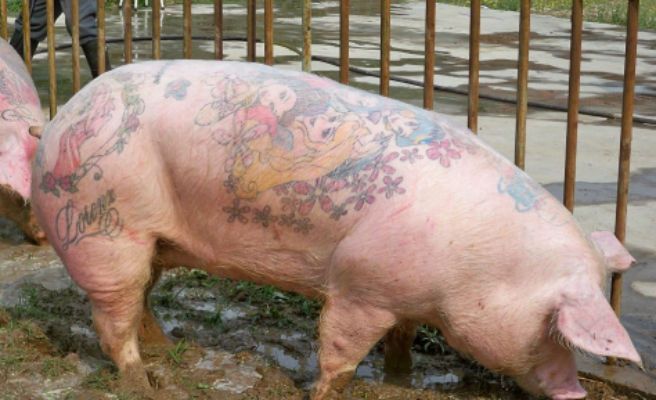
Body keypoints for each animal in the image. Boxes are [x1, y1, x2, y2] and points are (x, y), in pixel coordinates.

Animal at [30, 60, 641, 399]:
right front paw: (326, 393)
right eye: (555, 330)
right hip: (107, 229)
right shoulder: (359, 284)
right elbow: (339, 350)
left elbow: (401, 340)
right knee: (112, 317)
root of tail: (65, 116)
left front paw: (401, 381)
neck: (482, 264)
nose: (577, 392)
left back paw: (167, 348)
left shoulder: (404, 292)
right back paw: (145, 383)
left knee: (142, 300)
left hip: (153, 241)